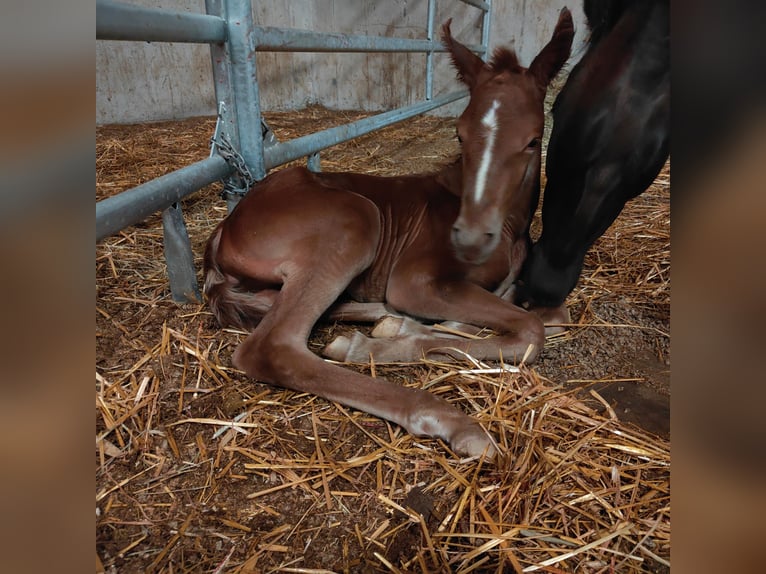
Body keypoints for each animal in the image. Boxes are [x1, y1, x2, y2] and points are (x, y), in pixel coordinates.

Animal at [203, 9, 575, 459]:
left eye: (533, 140)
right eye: (460, 134)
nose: (468, 238)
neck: (507, 227)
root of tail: (224, 228)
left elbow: (545, 316)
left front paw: (405, 331)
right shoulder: (413, 280)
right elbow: (531, 332)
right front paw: (370, 347)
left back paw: (389, 321)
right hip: (356, 220)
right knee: (272, 347)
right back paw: (449, 418)